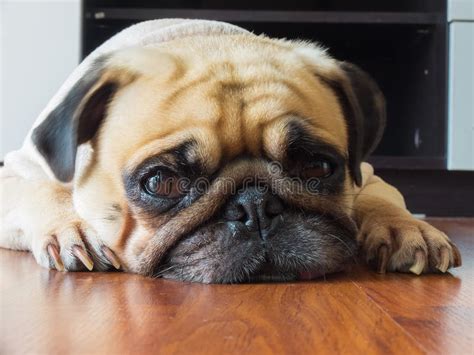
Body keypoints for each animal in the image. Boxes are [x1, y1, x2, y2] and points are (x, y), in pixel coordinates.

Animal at [0, 19, 460, 284]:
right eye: (161, 182)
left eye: (317, 167)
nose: (255, 206)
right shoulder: (17, 173)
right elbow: (44, 191)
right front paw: (71, 227)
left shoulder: (366, 171)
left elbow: (382, 198)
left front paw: (407, 229)